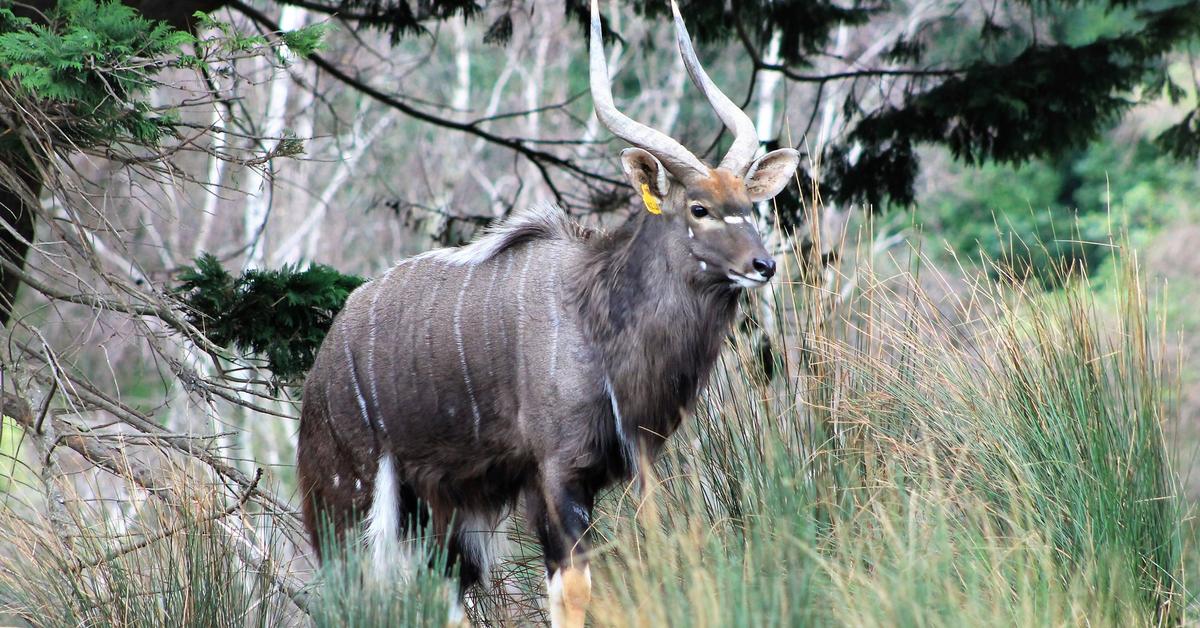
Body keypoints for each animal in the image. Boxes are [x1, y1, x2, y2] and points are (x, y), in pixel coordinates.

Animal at [294, 2, 796, 624]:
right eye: (698, 208)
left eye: (749, 204)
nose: (763, 265)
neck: (597, 316)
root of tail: (323, 363)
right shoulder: (556, 471)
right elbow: (574, 585)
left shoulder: (633, 461)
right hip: (352, 495)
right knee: (352, 593)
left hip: (445, 508)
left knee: (444, 588)